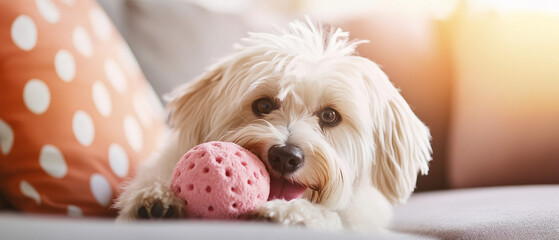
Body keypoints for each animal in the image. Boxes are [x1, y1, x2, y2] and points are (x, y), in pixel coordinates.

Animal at [115, 19, 434, 234]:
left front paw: (291, 213)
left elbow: (331, 217)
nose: (285, 156)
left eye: (330, 116)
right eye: (264, 106)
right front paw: (155, 199)